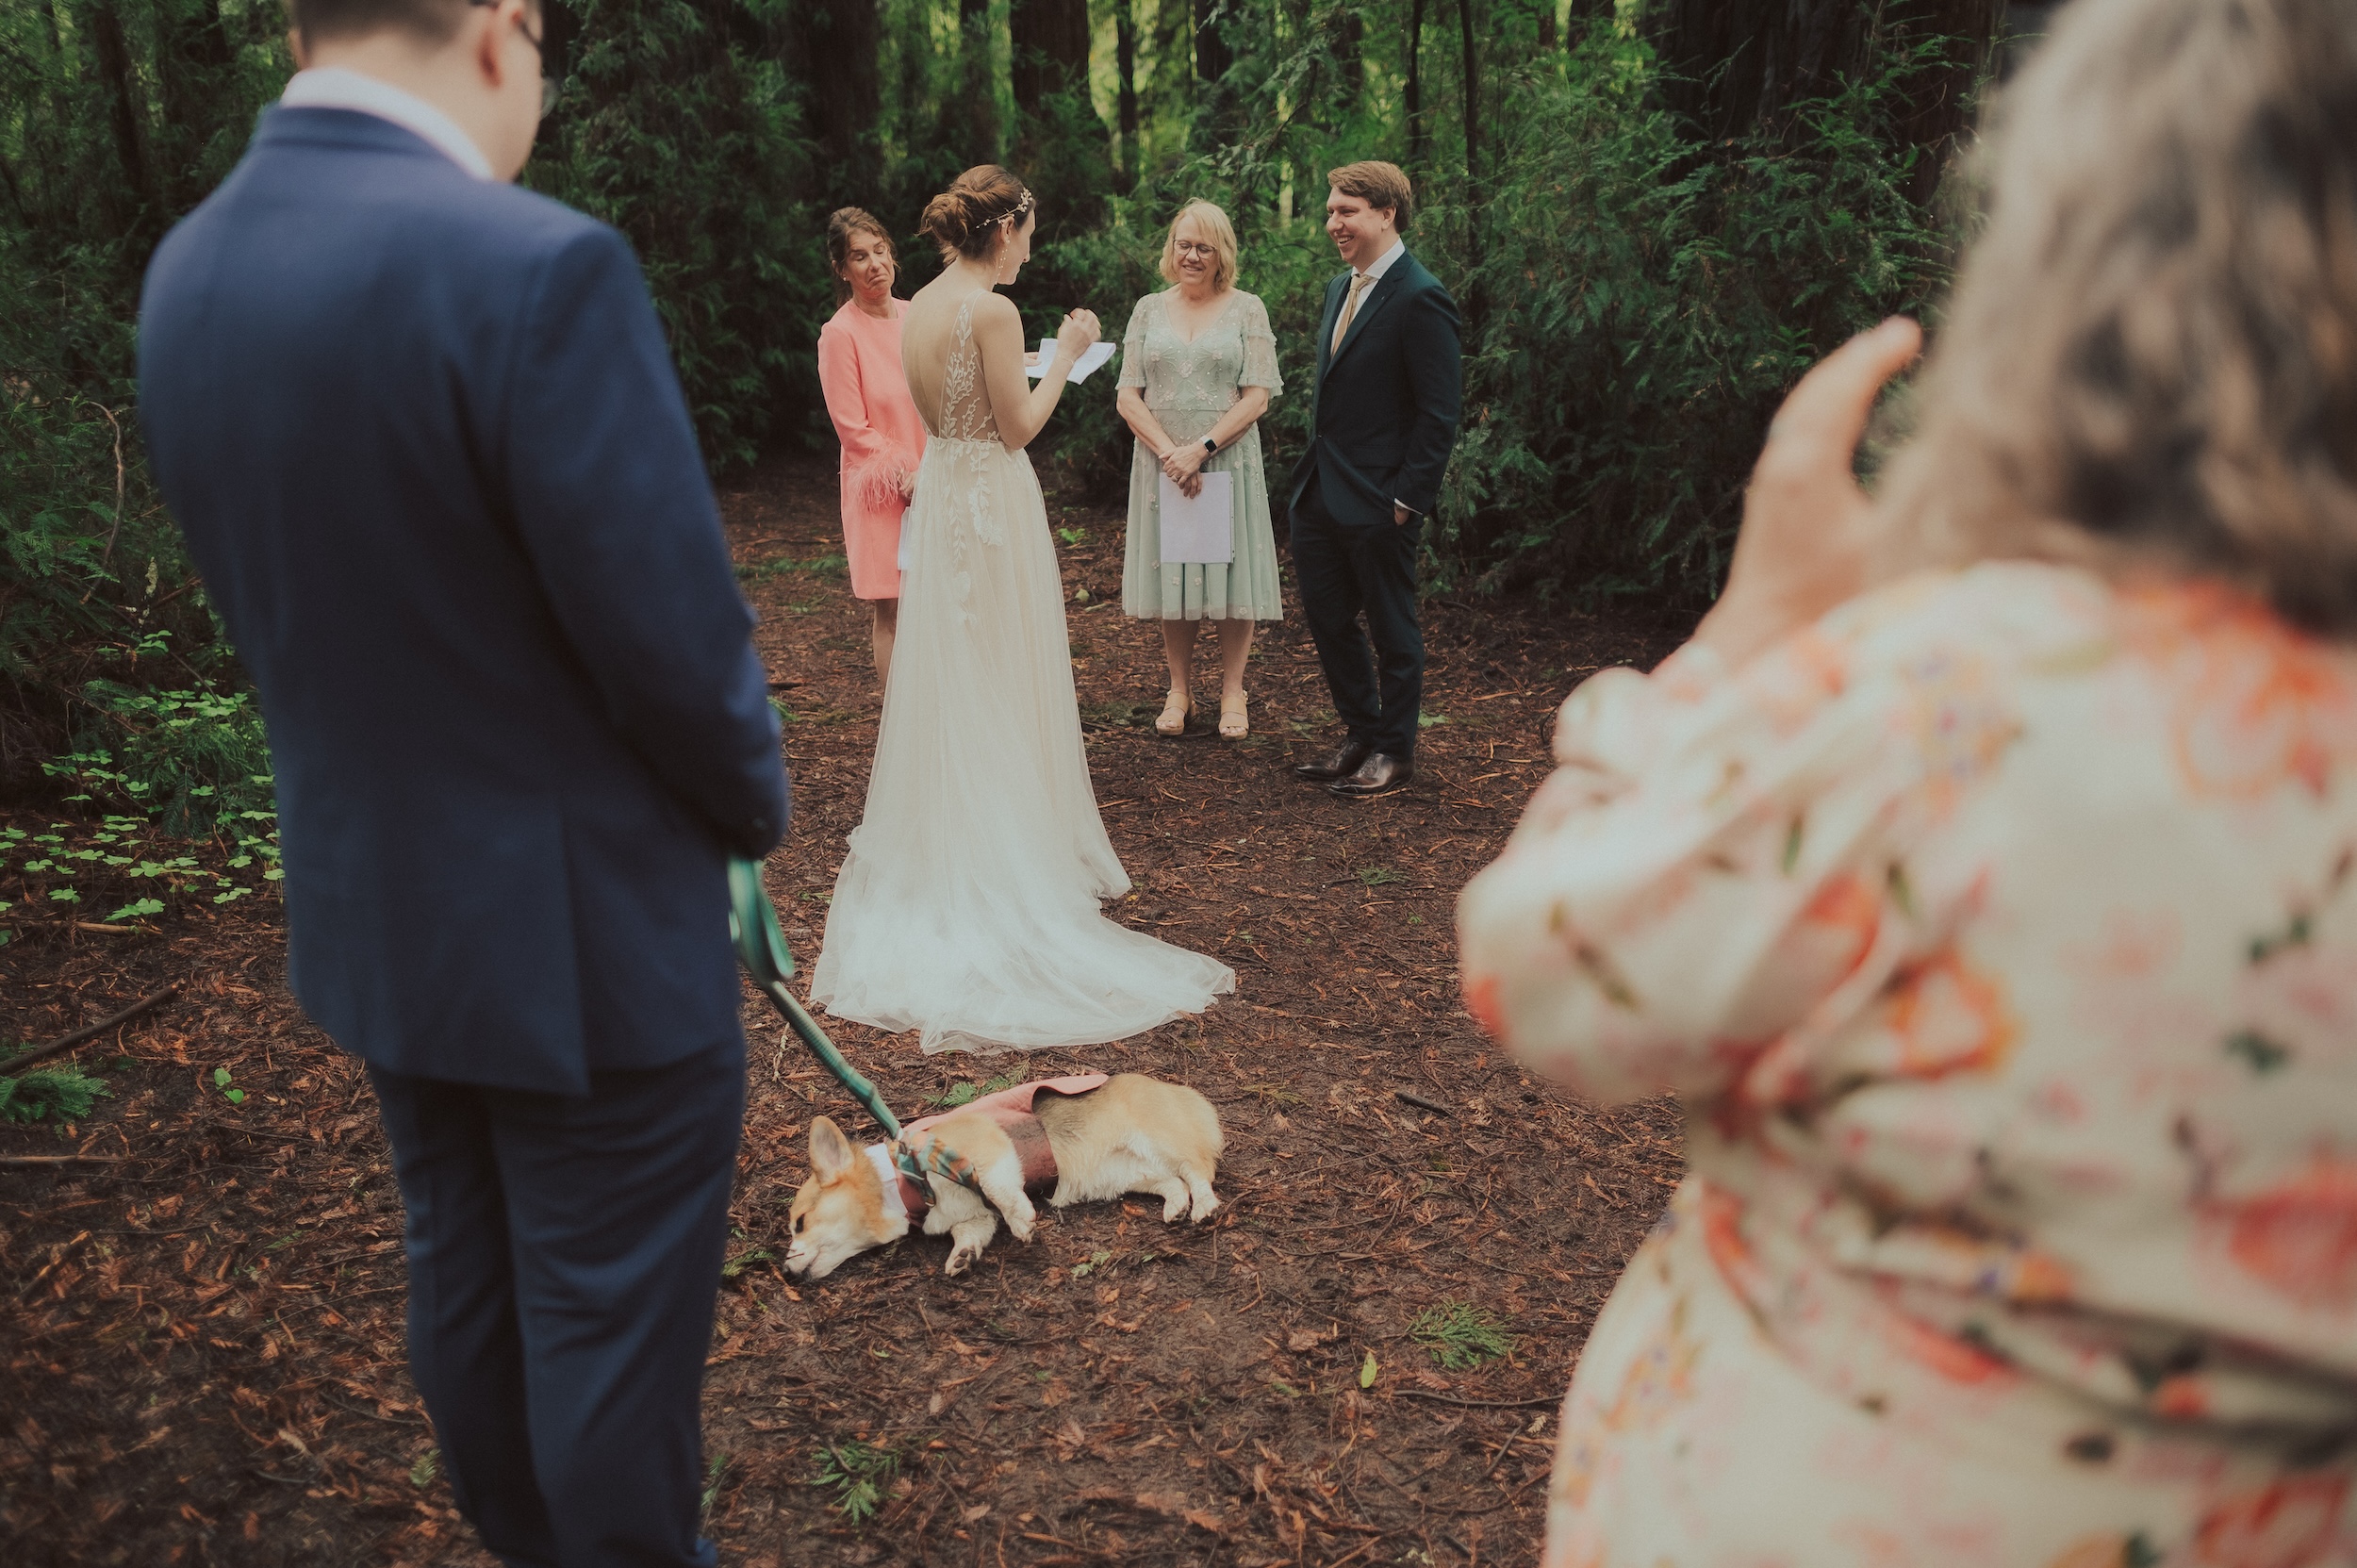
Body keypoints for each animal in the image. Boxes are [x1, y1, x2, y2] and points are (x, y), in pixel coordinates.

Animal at [787, 1070, 1235, 1282]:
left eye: (799, 1223)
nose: (787, 1270)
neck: (902, 1181)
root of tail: (1182, 1093)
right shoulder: (973, 1218)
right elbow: (970, 1232)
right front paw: (962, 1257)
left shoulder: (987, 1152)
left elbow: (1000, 1190)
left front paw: (1022, 1221)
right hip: (1131, 1175)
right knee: (1174, 1184)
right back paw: (1176, 1209)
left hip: (1163, 1143)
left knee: (1197, 1173)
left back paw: (1204, 1208)